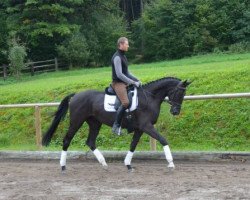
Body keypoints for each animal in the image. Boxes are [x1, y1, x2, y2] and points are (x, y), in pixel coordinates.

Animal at [43, 76, 190, 172]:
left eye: (184, 94)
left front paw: (128, 165)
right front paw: (171, 163)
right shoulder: (146, 126)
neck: (149, 98)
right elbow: (163, 140)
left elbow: (133, 145)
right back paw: (63, 166)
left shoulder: (140, 129)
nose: (175, 111)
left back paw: (103, 163)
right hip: (76, 121)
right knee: (67, 140)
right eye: (179, 92)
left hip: (95, 123)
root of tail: (76, 95)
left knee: (90, 142)